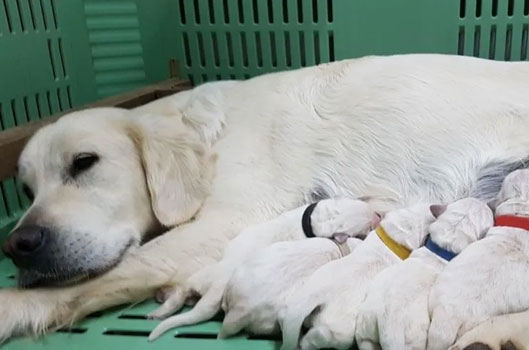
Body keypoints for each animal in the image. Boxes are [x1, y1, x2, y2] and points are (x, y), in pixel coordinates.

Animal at [147, 198, 376, 340]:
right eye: (366, 227)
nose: (378, 215)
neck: (313, 219)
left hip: (202, 276)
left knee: (181, 293)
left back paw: (159, 310)